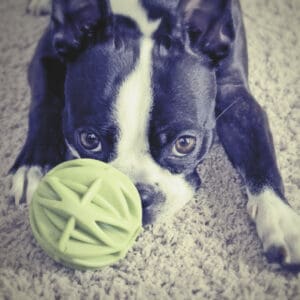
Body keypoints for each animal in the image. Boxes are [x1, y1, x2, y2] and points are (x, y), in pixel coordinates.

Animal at [12, 0, 300, 270]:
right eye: (89, 140)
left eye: (184, 144)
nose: (138, 196)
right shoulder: (47, 56)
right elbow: (45, 104)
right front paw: (33, 166)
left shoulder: (234, 91)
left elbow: (259, 152)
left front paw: (279, 218)